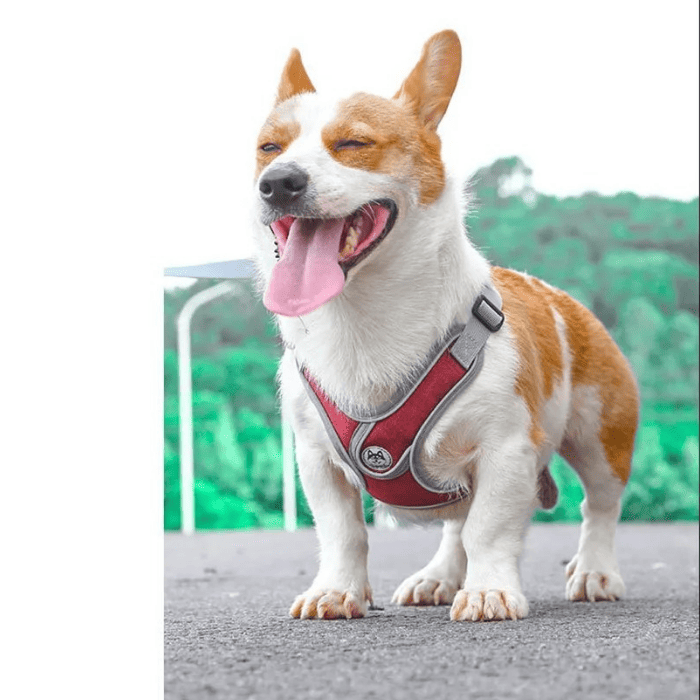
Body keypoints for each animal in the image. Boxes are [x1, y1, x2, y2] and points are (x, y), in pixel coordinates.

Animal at [250, 30, 640, 620]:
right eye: (269, 149)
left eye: (353, 143)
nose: (277, 184)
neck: (364, 318)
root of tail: (561, 296)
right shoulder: (317, 460)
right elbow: (343, 533)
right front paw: (336, 591)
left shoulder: (505, 449)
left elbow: (489, 530)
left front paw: (489, 591)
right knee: (456, 522)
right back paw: (438, 577)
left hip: (600, 439)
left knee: (598, 508)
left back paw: (595, 571)